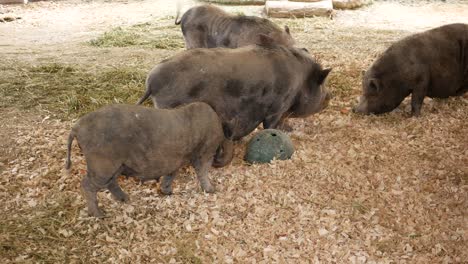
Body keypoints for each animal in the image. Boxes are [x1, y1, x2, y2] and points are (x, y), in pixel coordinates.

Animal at [65, 102, 233, 218]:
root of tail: (76, 128)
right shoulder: (205, 151)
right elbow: (202, 170)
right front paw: (211, 190)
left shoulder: (176, 160)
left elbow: (171, 174)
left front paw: (167, 191)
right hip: (102, 165)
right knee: (87, 185)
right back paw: (99, 214)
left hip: (115, 166)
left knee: (111, 183)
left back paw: (125, 199)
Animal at [136, 34, 332, 141]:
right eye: (322, 84)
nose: (330, 96)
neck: (300, 79)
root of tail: (151, 81)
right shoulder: (278, 106)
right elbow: (271, 125)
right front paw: (284, 131)